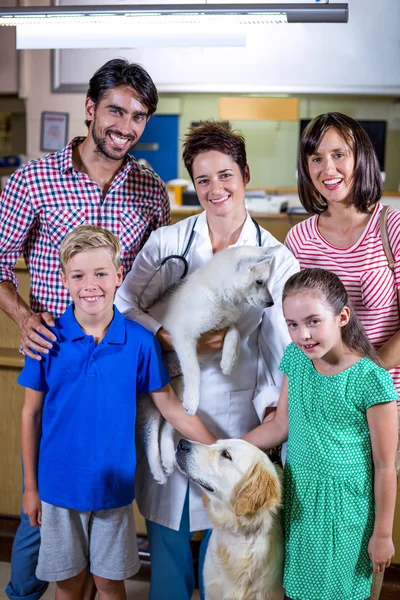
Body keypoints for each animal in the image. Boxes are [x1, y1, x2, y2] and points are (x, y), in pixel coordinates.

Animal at [138, 246, 272, 486]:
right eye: (259, 281)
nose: (272, 303)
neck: (219, 297)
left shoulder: (225, 324)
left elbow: (234, 333)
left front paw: (229, 360)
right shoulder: (184, 336)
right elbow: (194, 370)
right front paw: (195, 396)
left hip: (176, 393)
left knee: (169, 425)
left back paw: (168, 459)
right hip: (153, 397)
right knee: (150, 432)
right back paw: (158, 470)